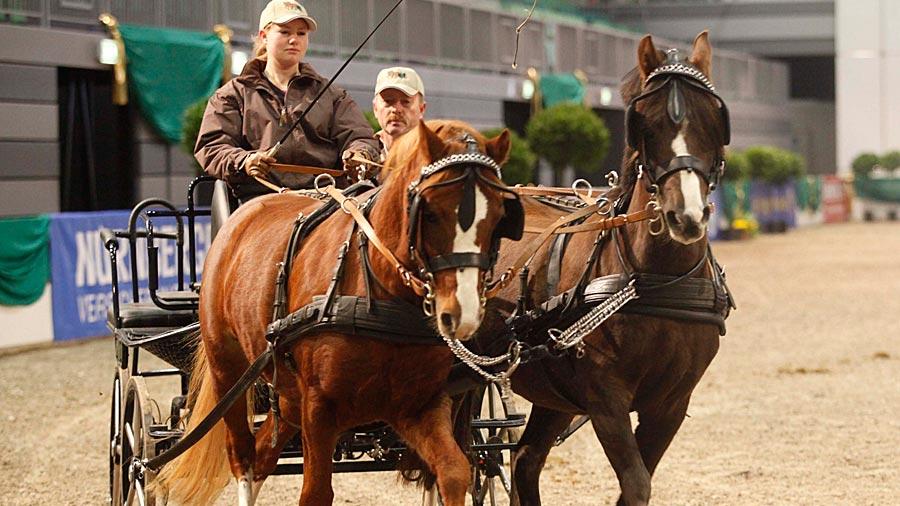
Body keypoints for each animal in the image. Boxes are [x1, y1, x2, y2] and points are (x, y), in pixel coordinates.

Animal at [155, 119, 520, 506]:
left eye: (499, 217)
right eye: (431, 212)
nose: (463, 314)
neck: (380, 291)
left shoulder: (418, 405)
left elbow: (453, 472)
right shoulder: (319, 408)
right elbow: (316, 491)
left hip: (287, 392)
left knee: (265, 449)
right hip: (229, 370)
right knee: (243, 458)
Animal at [468, 32, 736, 506]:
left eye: (712, 119)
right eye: (645, 124)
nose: (685, 216)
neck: (655, 280)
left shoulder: (671, 403)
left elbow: (636, 484)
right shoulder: (605, 400)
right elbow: (636, 483)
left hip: (551, 394)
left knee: (524, 462)